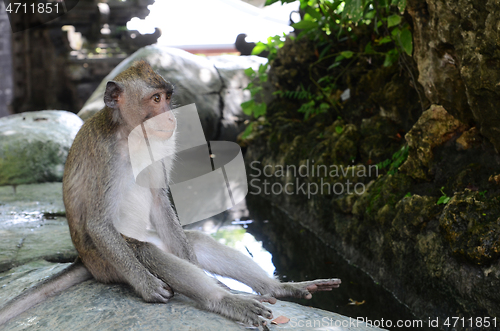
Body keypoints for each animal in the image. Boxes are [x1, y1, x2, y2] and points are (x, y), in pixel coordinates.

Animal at [0, 61, 340, 328]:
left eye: (167, 97)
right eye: (154, 98)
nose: (170, 117)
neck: (130, 133)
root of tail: (83, 261)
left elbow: (159, 200)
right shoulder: (104, 155)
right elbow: (98, 222)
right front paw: (147, 285)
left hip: (159, 238)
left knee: (194, 241)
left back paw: (277, 288)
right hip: (106, 261)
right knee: (145, 252)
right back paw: (224, 300)